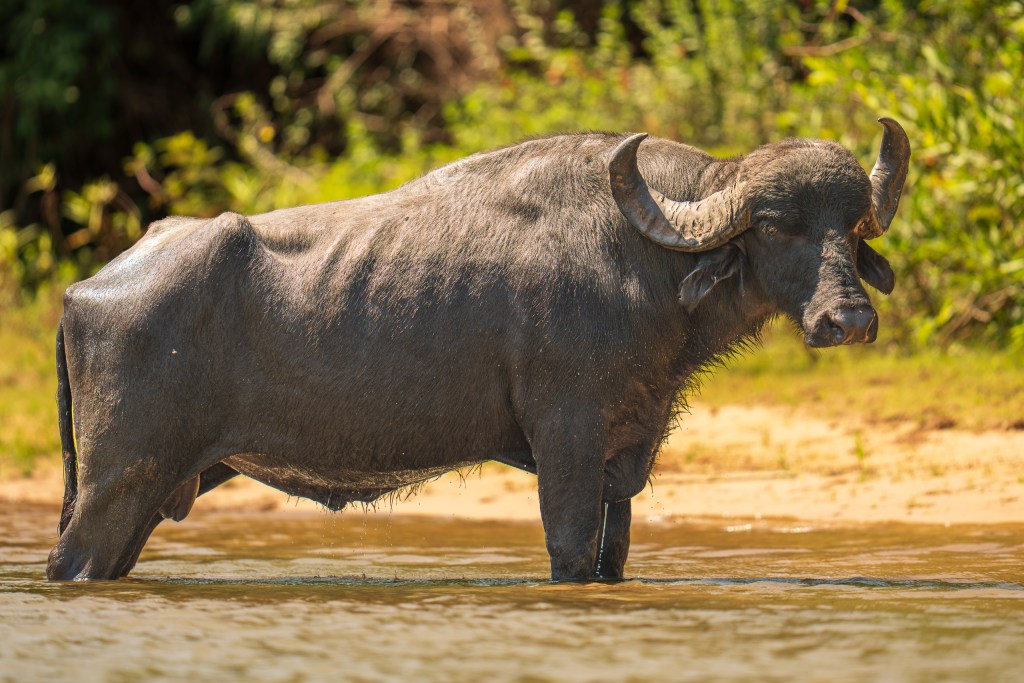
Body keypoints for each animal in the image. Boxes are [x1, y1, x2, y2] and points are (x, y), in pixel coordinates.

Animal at [47, 118, 910, 581]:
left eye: (850, 224)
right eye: (776, 225)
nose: (848, 319)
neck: (645, 261)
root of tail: (86, 289)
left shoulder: (626, 454)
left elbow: (612, 554)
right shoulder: (566, 438)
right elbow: (569, 549)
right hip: (117, 483)